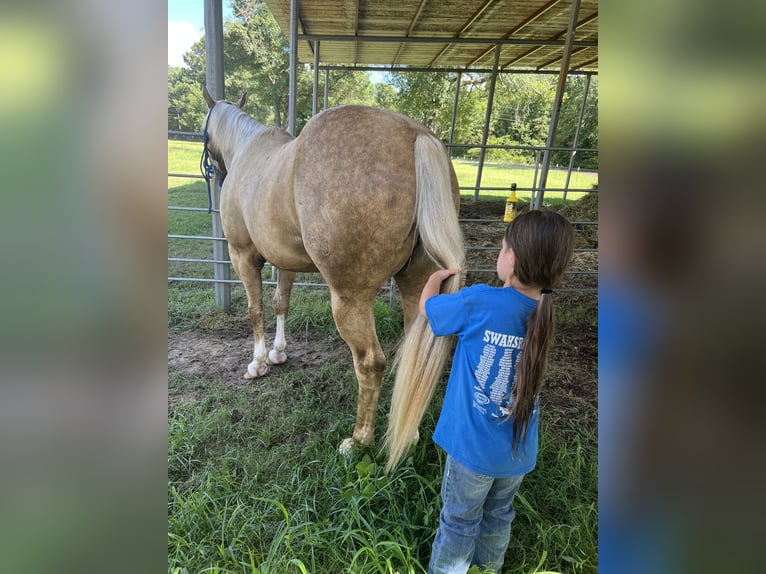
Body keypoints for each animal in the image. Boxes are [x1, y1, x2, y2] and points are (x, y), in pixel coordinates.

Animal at [204, 90, 464, 468]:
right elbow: (281, 303)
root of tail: (416, 136)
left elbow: (256, 310)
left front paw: (258, 362)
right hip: (417, 287)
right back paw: (409, 434)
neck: (247, 150)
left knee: (370, 363)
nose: (219, 174)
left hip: (349, 299)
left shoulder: (243, 257)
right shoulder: (285, 263)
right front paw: (278, 353)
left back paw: (359, 440)